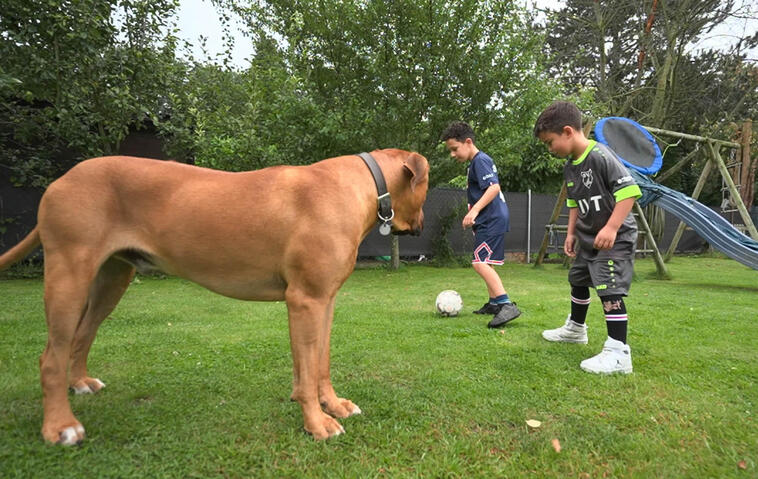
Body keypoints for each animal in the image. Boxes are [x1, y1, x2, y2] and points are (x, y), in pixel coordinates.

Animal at [0, 148, 428, 444]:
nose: (422, 225)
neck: (364, 184)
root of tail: (61, 179)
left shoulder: (324, 301)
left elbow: (317, 363)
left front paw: (332, 405)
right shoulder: (306, 300)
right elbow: (308, 370)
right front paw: (316, 422)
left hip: (111, 279)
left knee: (81, 336)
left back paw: (79, 384)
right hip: (68, 276)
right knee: (50, 357)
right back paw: (60, 426)